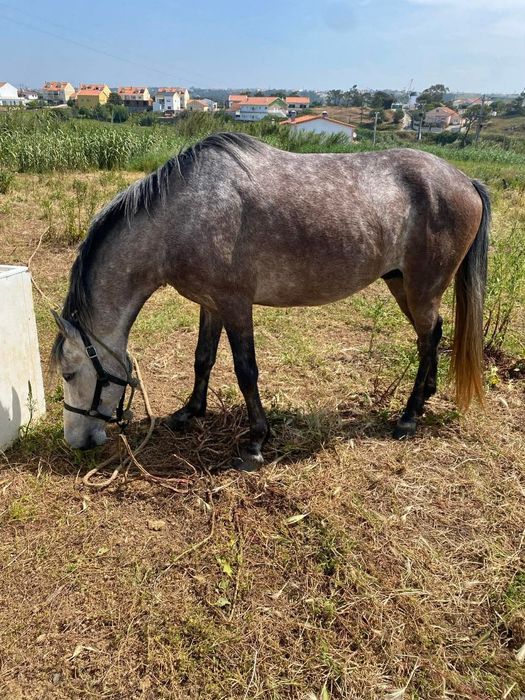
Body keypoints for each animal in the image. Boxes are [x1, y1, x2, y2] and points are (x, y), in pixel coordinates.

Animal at [51, 132, 490, 469]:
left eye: (69, 374)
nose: (77, 442)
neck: (181, 216)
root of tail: (465, 180)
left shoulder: (235, 304)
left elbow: (246, 371)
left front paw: (256, 442)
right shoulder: (211, 303)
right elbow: (202, 358)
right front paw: (190, 412)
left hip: (422, 288)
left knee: (428, 337)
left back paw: (409, 417)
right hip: (401, 284)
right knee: (430, 337)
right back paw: (424, 398)